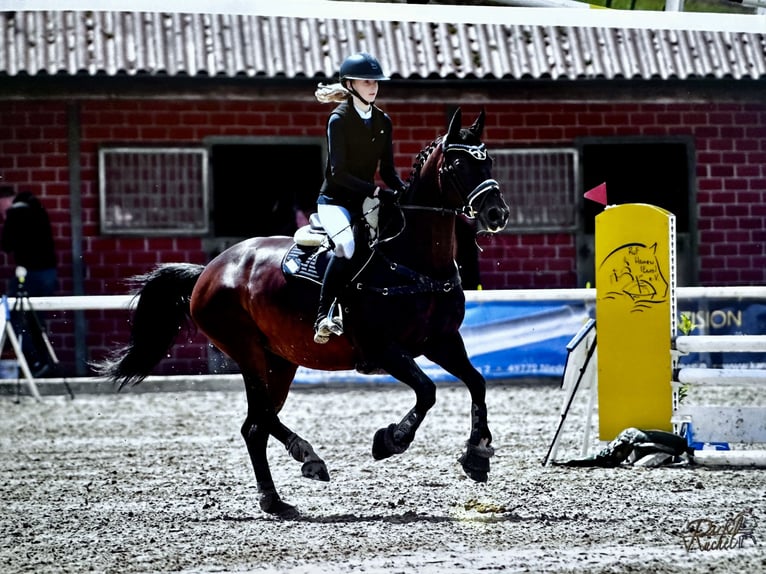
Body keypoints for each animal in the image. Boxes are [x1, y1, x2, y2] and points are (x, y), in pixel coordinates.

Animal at [97, 107, 516, 516]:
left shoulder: (441, 341)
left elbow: (477, 382)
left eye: (489, 160)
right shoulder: (384, 350)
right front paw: (391, 440)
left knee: (257, 423)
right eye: (457, 165)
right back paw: (297, 468)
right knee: (259, 420)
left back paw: (284, 487)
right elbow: (427, 391)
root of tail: (208, 271)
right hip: (247, 352)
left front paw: (477, 454)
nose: (497, 214)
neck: (414, 260)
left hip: (280, 360)